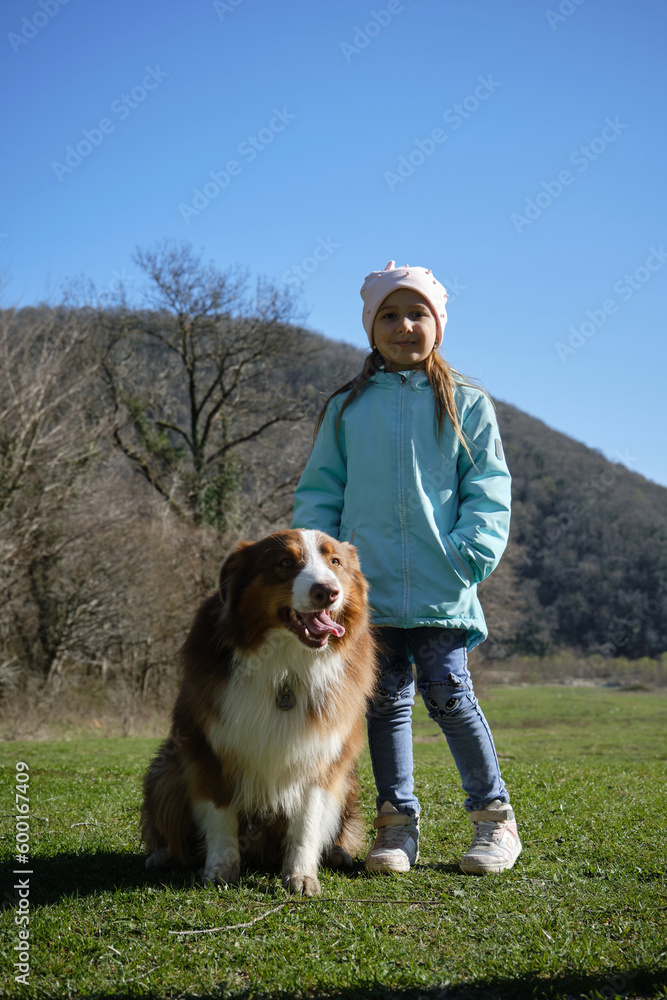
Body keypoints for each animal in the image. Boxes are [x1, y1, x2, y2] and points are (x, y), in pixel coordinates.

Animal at [140, 528, 376, 896]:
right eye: (286, 563)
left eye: (335, 561)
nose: (329, 592)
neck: (285, 665)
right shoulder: (208, 747)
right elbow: (220, 814)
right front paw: (220, 870)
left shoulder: (321, 755)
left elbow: (307, 820)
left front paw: (301, 875)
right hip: (167, 770)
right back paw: (162, 855)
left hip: (347, 780)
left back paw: (337, 853)